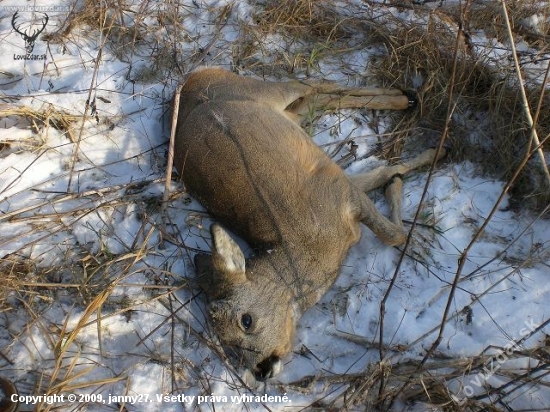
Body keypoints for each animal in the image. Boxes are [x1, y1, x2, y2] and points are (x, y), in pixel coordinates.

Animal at [175, 67, 446, 380]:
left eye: (246, 321)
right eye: (225, 343)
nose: (261, 370)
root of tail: (192, 79)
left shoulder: (341, 194)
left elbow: (394, 233)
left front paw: (425, 160)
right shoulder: (341, 185)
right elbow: (382, 175)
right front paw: (403, 172)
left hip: (258, 89)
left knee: (313, 83)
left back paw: (408, 99)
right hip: (285, 112)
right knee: (314, 99)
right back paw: (408, 100)